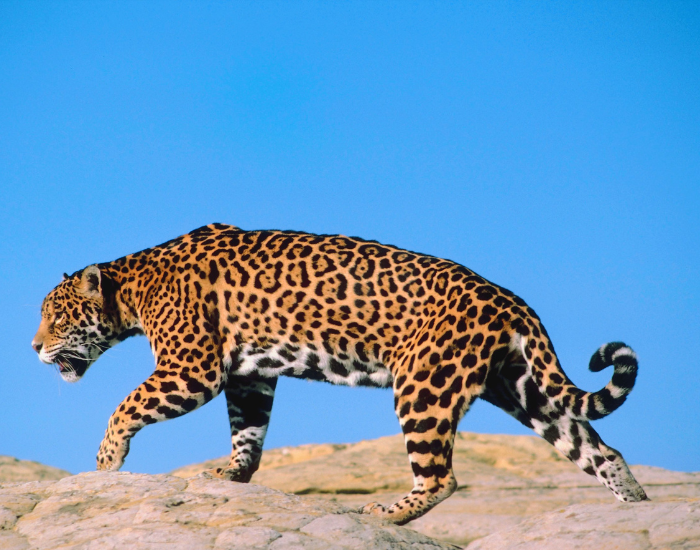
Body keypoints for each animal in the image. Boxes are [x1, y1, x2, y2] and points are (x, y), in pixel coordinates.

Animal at [32, 223, 647, 524]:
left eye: (55, 317)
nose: (34, 347)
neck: (131, 288)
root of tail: (511, 301)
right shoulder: (248, 373)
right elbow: (248, 431)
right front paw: (232, 474)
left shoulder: (193, 368)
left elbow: (126, 405)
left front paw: (106, 461)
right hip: (521, 388)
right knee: (600, 449)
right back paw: (638, 505)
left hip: (424, 386)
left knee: (441, 477)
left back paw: (387, 515)